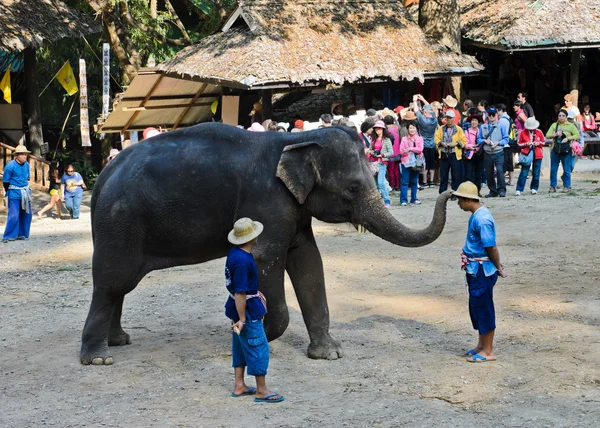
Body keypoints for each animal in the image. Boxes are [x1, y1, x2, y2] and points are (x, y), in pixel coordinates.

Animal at [79, 123, 450, 364]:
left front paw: (329, 353)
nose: (448, 192)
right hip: (121, 220)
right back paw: (98, 358)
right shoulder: (267, 200)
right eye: (353, 188)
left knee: (119, 285)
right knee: (113, 281)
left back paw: (119, 341)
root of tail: (103, 176)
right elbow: (266, 260)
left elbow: (308, 261)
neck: (296, 140)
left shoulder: (293, 209)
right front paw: (249, 335)